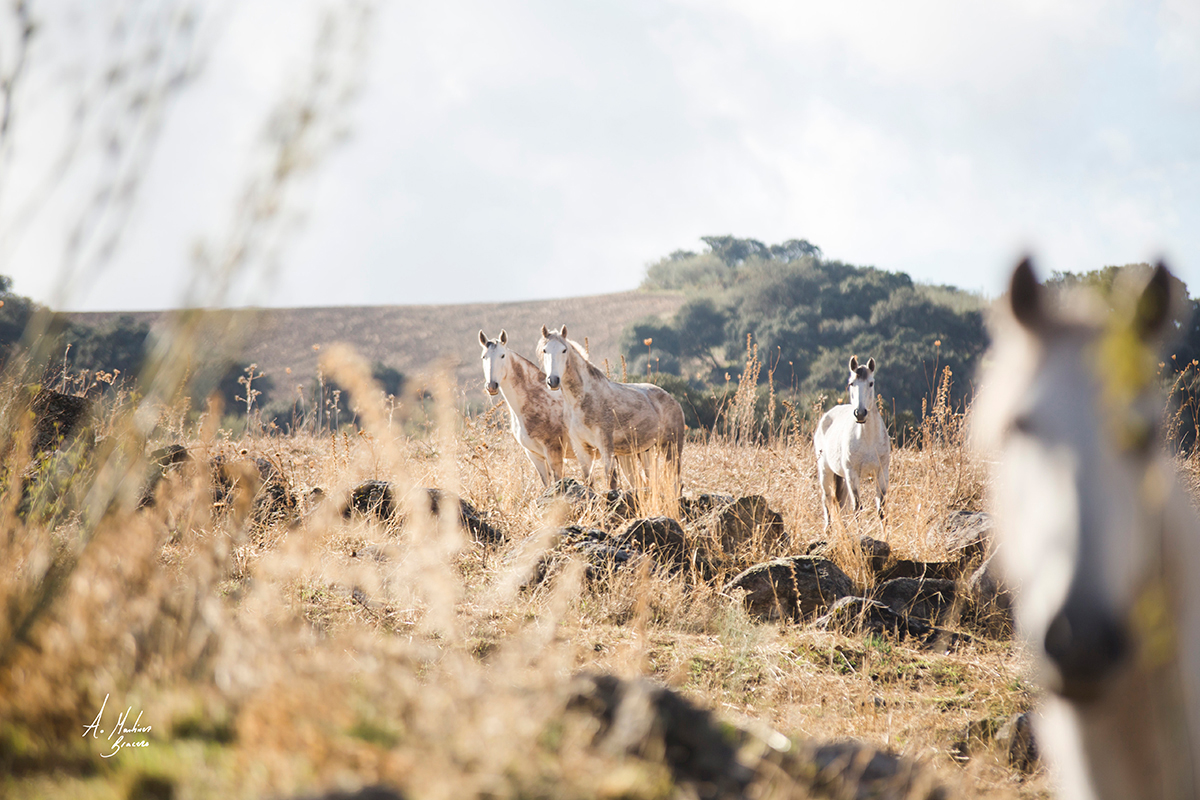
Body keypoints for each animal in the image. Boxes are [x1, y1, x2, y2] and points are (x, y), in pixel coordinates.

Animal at [537, 325, 685, 495]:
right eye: (545, 350)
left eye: (564, 350)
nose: (553, 381)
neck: (581, 401)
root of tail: (674, 401)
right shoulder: (581, 448)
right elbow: (588, 482)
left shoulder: (605, 446)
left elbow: (610, 480)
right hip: (643, 452)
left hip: (671, 448)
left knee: (676, 482)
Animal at [813, 356, 891, 532]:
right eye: (851, 383)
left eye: (871, 383)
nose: (860, 413)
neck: (868, 440)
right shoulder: (852, 473)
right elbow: (857, 508)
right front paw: (860, 534)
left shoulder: (882, 473)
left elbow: (881, 509)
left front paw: (886, 535)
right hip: (826, 471)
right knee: (827, 499)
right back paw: (828, 530)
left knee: (841, 504)